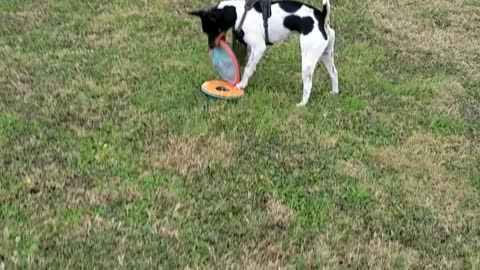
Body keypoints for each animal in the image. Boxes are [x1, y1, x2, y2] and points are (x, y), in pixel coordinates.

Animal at [189, 0, 340, 106]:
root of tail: (322, 17)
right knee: (334, 73)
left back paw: (302, 104)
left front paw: (241, 84)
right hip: (326, 55)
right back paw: (334, 92)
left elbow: (248, 68)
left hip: (308, 59)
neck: (239, 12)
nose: (211, 47)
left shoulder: (259, 47)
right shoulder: (252, 49)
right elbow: (250, 66)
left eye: (213, 31)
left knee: (308, 84)